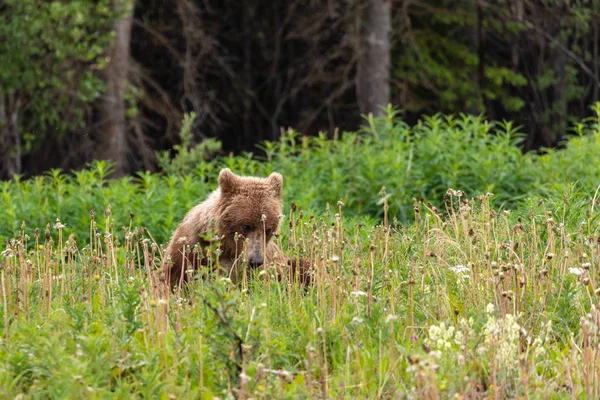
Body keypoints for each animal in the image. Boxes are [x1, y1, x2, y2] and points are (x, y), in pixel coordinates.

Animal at [162, 167, 310, 290]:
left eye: (268, 230)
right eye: (246, 226)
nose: (256, 261)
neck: (225, 246)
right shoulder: (188, 247)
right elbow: (173, 276)